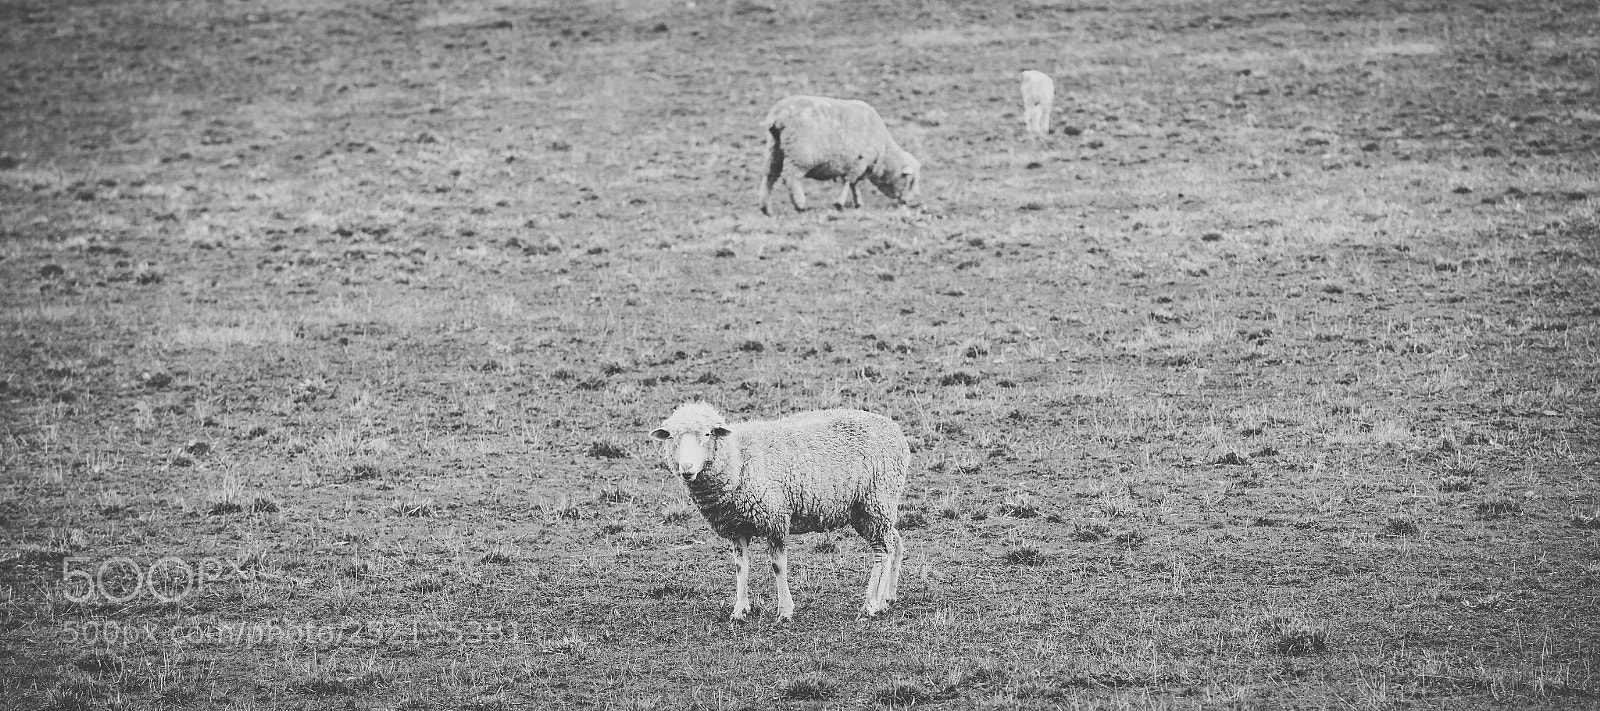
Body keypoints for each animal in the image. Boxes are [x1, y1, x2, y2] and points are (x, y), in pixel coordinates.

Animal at [650, 401, 911, 621]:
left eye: (707, 434)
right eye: (671, 437)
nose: (687, 470)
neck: (738, 459)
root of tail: (895, 430)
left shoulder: (774, 519)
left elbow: (777, 566)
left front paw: (784, 611)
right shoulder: (737, 526)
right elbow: (741, 567)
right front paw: (739, 611)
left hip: (876, 501)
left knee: (882, 551)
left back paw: (870, 605)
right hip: (870, 509)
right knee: (894, 543)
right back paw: (886, 599)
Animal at [759, 95, 922, 215]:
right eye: (910, 181)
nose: (909, 203)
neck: (885, 154)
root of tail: (779, 115)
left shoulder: (858, 164)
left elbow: (855, 184)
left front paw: (858, 202)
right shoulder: (860, 160)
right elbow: (849, 181)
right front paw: (840, 203)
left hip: (774, 149)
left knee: (769, 176)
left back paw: (766, 208)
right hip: (799, 155)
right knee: (790, 177)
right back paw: (799, 204)